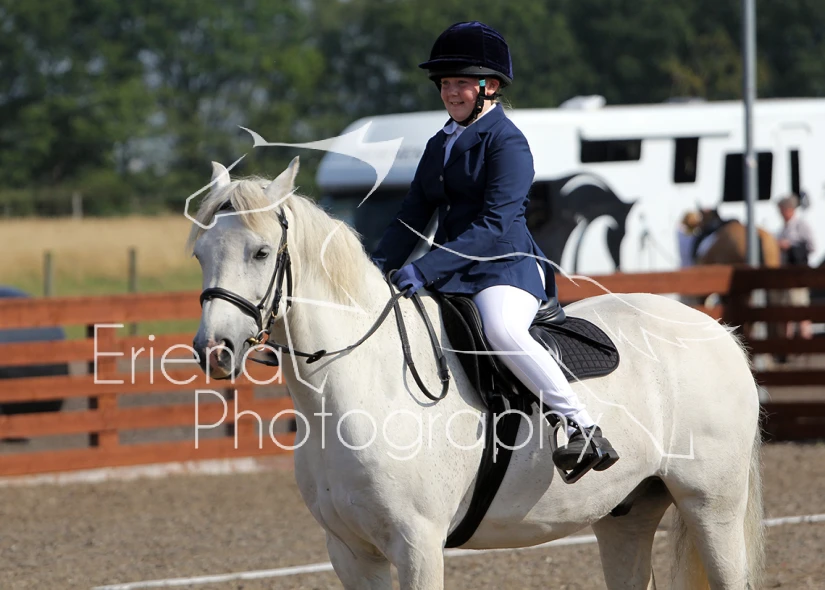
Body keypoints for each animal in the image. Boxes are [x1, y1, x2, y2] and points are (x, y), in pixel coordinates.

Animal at [191, 158, 765, 589]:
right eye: (198, 254)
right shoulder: (351, 552)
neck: (355, 386)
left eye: (262, 252)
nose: (214, 350)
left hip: (712, 506)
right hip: (626, 516)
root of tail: (718, 331)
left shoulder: (418, 546)